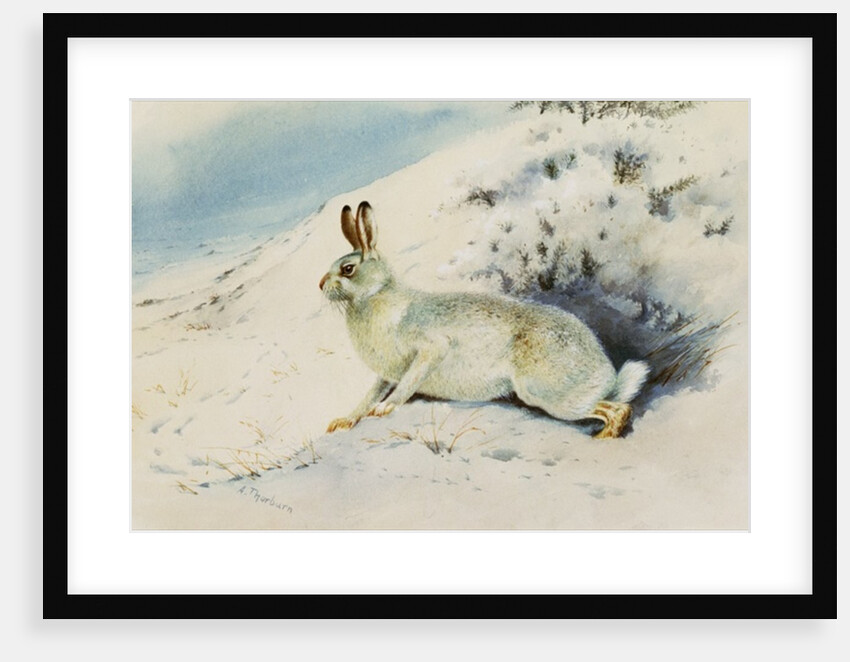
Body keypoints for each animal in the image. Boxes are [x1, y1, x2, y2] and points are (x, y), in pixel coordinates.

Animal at [319, 201, 650, 438]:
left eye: (347, 269)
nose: (320, 285)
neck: (374, 297)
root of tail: (607, 374)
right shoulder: (386, 374)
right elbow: (367, 396)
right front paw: (344, 421)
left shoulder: (430, 348)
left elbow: (409, 381)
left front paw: (385, 408)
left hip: (546, 392)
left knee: (618, 409)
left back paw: (603, 438)